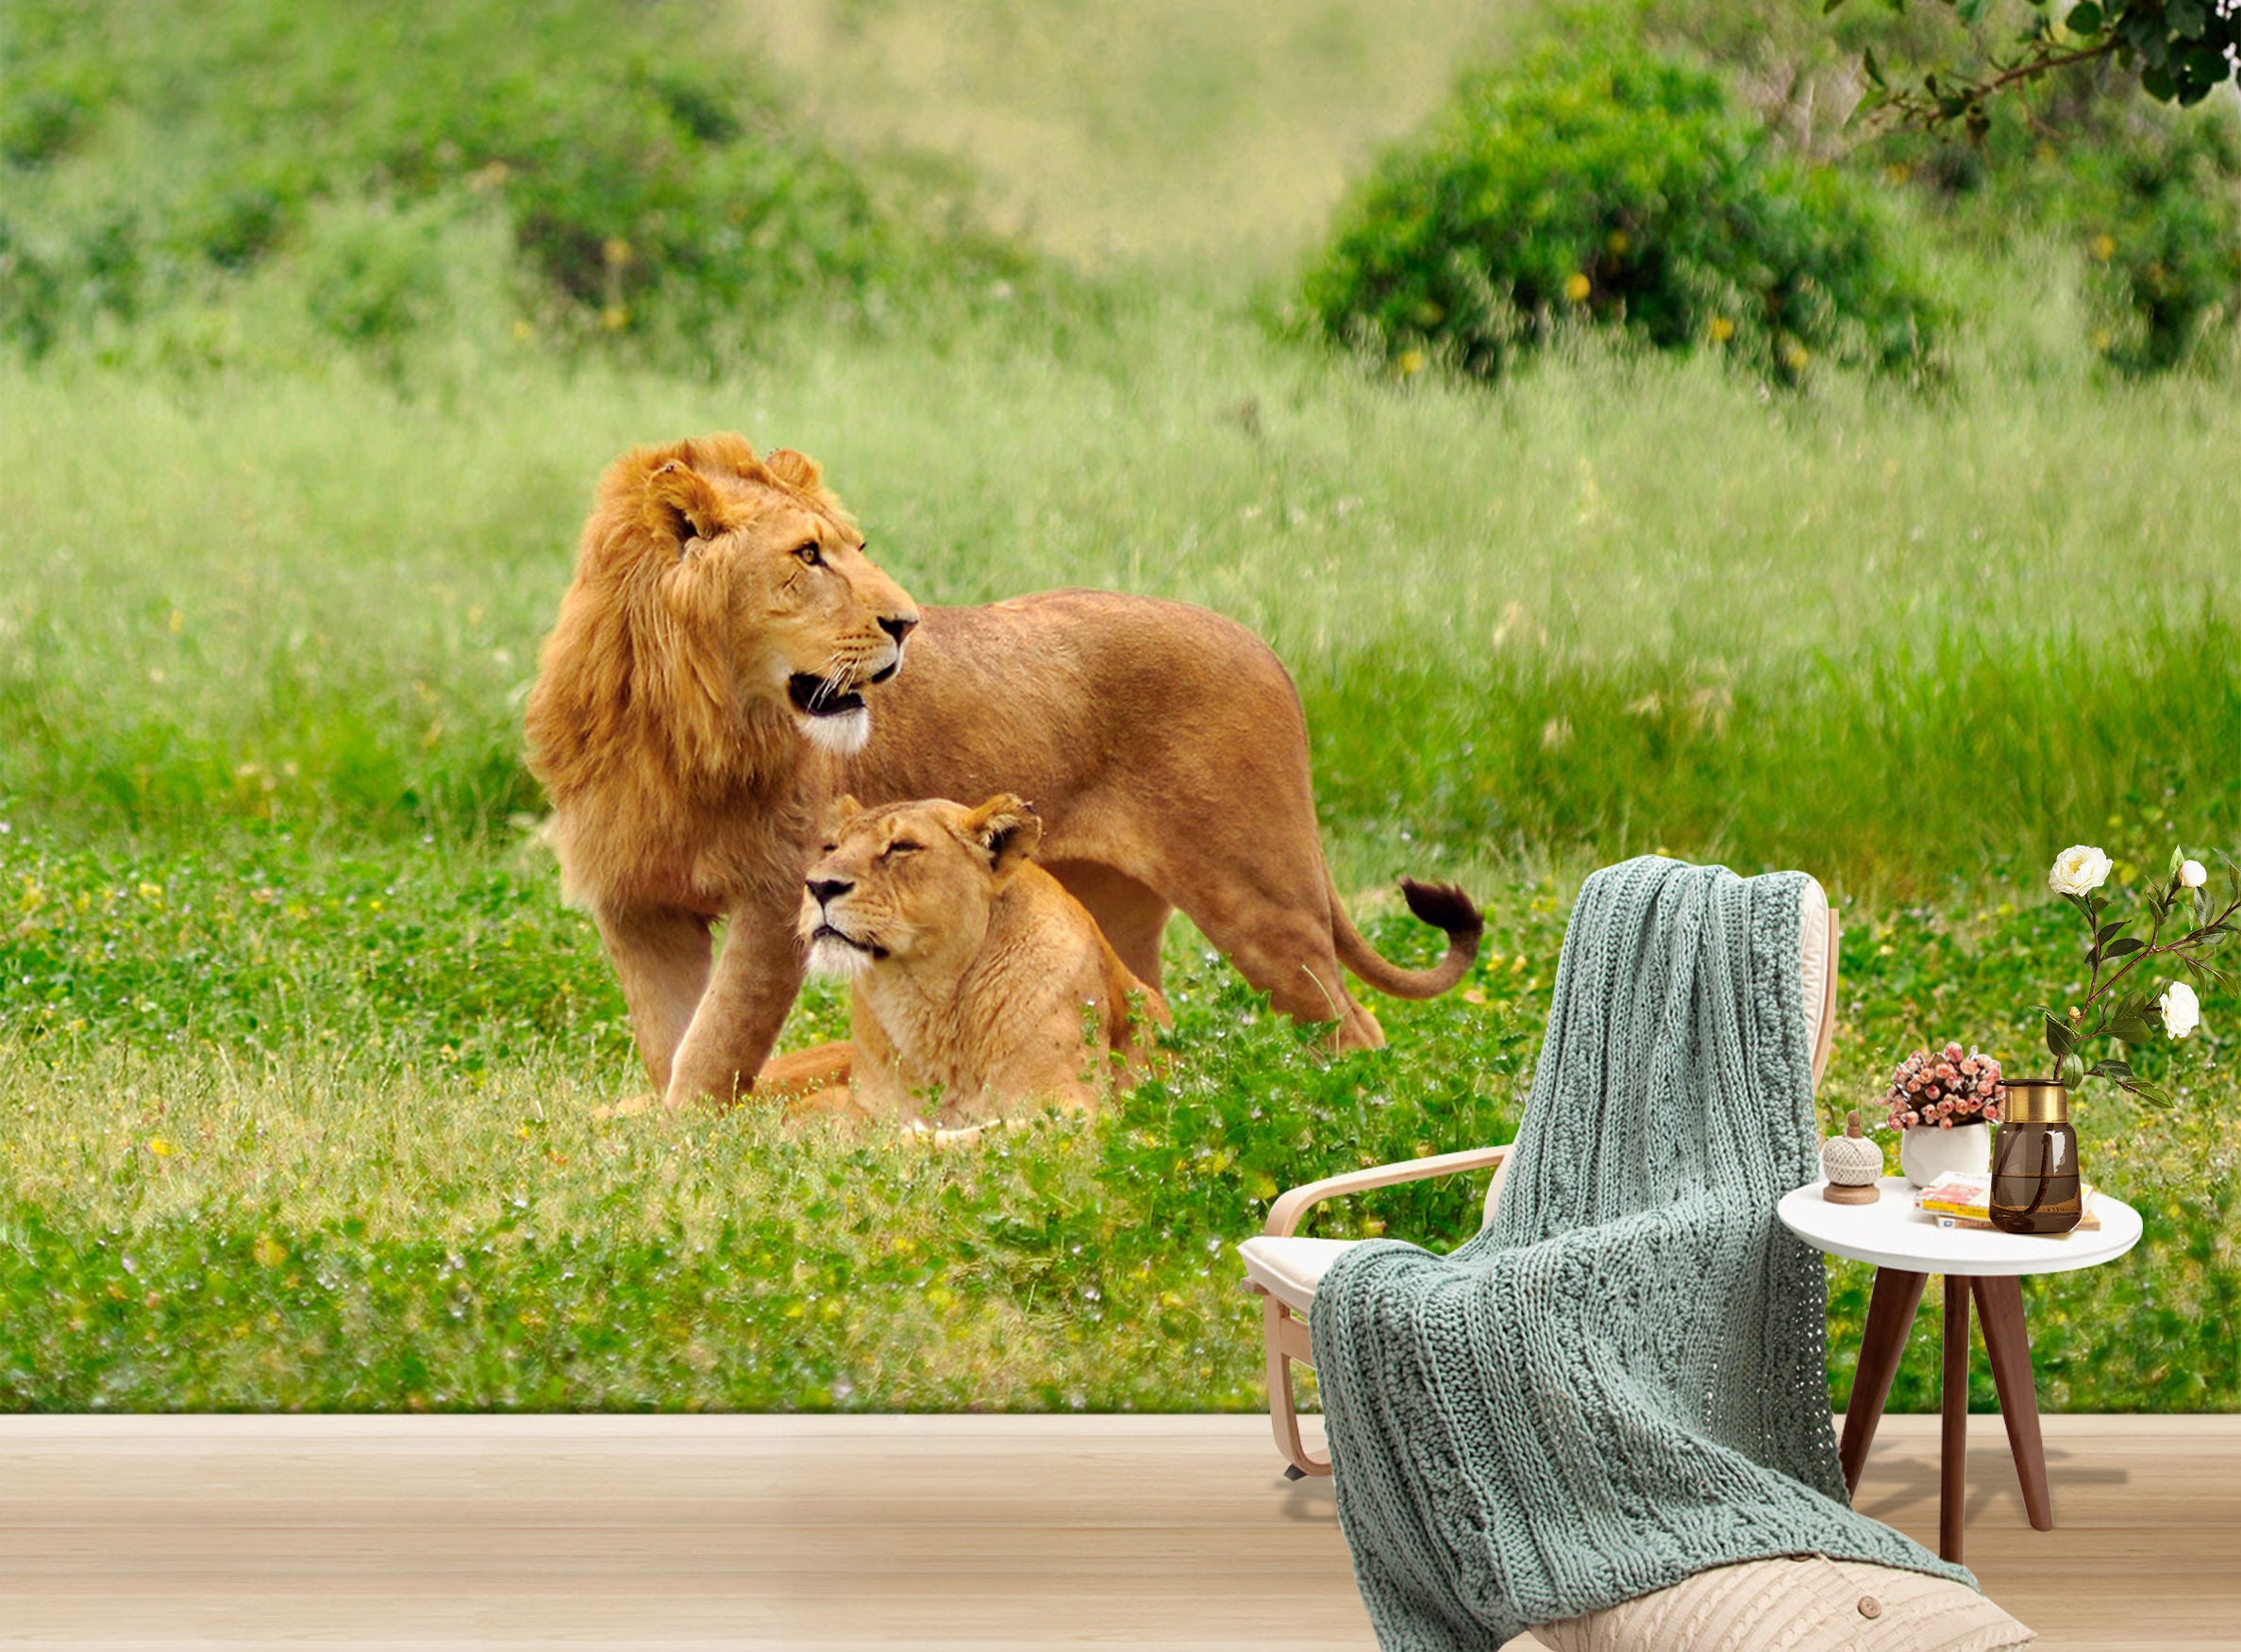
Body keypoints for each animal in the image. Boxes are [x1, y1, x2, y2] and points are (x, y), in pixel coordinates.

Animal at [761, 792, 1167, 1130]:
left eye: (902, 847)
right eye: (831, 847)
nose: (819, 886)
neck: (928, 1003)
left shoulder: (1072, 1109)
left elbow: (993, 1132)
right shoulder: (862, 1103)